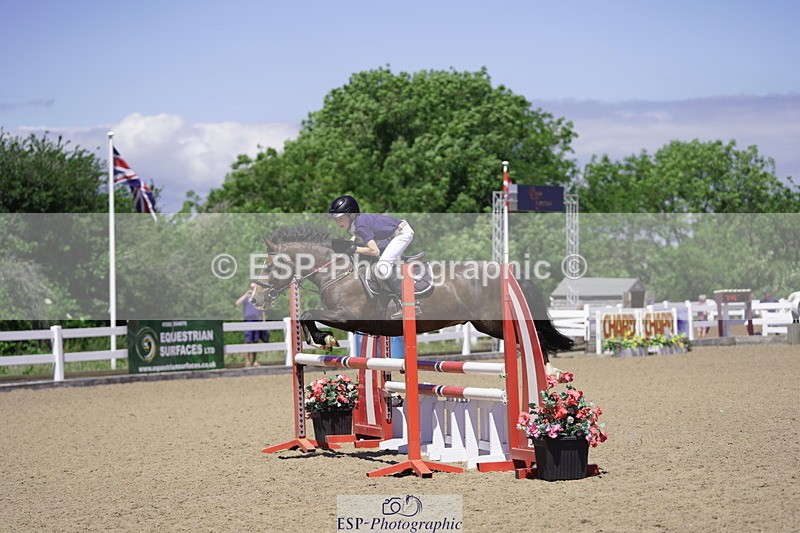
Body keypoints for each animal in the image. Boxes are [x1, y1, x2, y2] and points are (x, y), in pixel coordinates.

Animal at [249, 224, 574, 362]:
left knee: (532, 339)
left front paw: (325, 339)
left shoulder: (348, 316)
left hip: (493, 323)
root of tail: (508, 274)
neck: (338, 272)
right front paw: (322, 340)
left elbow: (307, 313)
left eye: (269, 265)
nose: (255, 298)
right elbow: (305, 317)